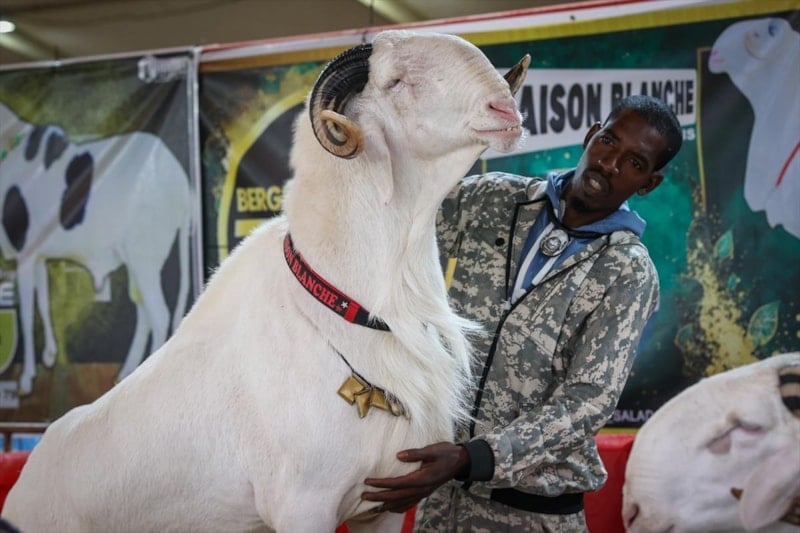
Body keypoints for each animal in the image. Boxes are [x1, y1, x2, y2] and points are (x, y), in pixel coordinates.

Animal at [0, 102, 192, 395]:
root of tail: (179, 177)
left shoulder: (24, 253)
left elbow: (26, 312)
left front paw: (26, 378)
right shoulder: (38, 255)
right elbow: (43, 301)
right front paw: (49, 355)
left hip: (144, 259)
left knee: (159, 315)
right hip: (138, 262)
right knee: (144, 313)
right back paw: (128, 372)